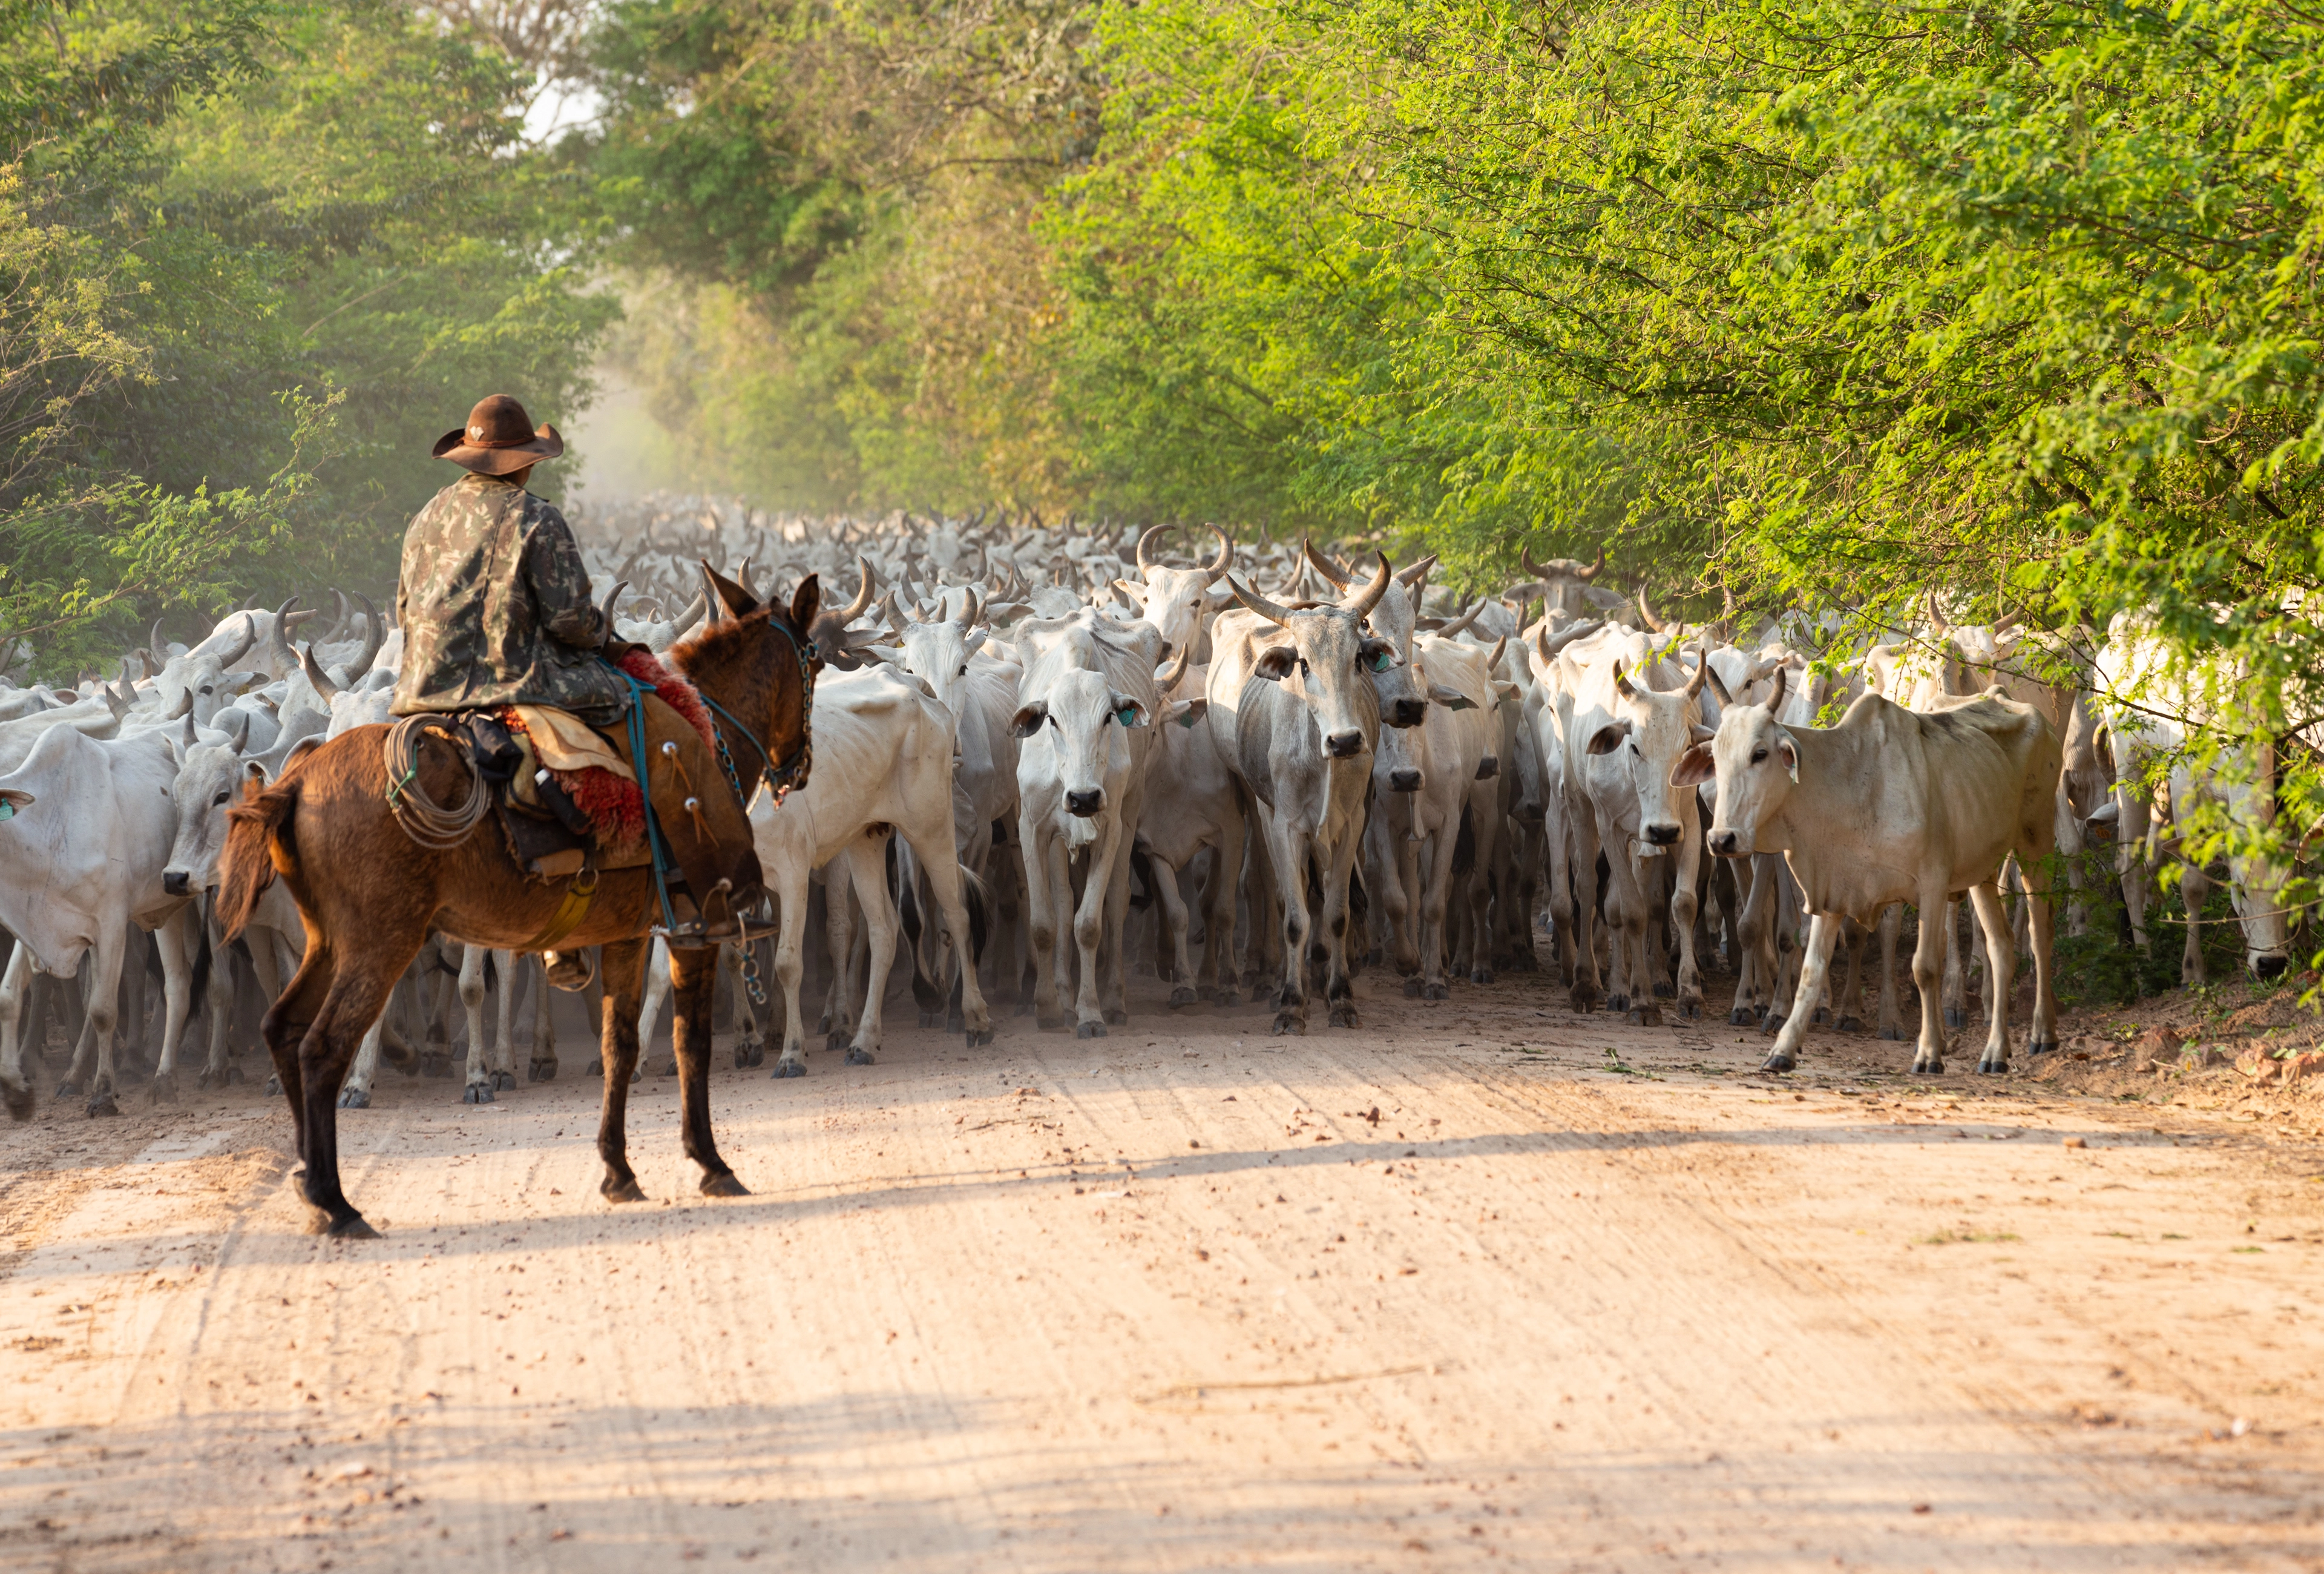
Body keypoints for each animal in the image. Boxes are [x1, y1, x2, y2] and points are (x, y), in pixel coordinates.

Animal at [218, 565, 845, 1237]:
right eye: (813, 660)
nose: (798, 764)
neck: (700, 730)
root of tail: (295, 783)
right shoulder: (696, 925)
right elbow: (689, 1043)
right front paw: (710, 1162)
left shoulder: (629, 932)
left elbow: (619, 1043)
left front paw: (618, 1171)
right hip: (379, 943)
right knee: (322, 1045)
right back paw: (334, 1198)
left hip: (332, 942)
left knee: (283, 1028)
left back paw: (311, 1175)